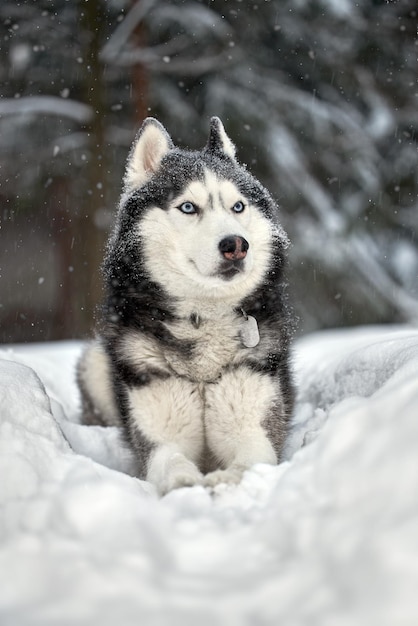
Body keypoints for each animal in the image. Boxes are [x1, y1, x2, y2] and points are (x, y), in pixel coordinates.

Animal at [78, 114, 294, 490]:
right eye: (189, 207)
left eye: (238, 206)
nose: (236, 245)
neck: (203, 317)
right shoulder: (161, 439)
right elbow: (174, 466)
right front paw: (190, 486)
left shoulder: (254, 428)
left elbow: (248, 464)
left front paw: (222, 481)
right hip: (94, 363)